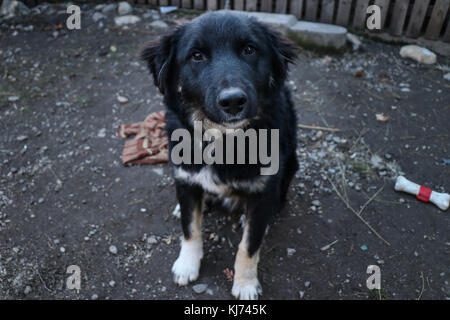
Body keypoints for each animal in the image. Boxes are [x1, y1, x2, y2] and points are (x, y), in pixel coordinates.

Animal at [142, 10, 298, 300]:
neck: (224, 139)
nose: (233, 101)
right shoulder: (185, 174)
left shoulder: (264, 188)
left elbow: (249, 245)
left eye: (249, 49)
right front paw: (187, 264)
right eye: (196, 56)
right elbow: (190, 228)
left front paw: (245, 283)